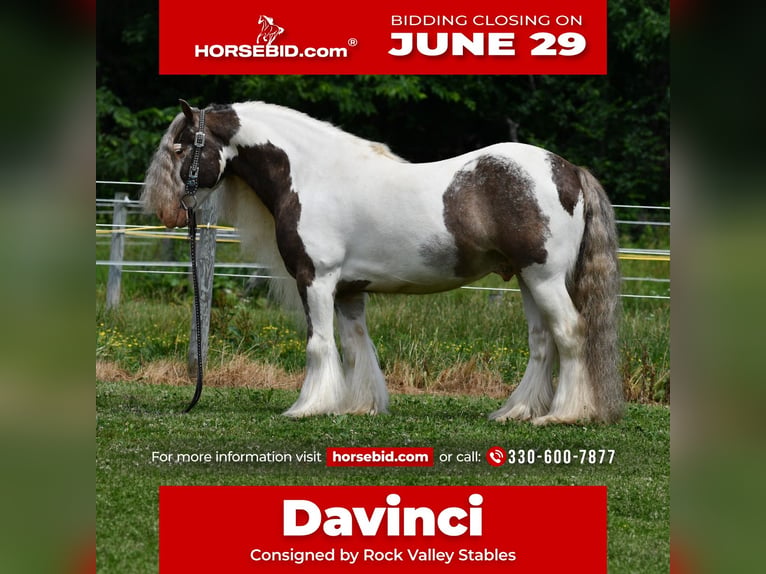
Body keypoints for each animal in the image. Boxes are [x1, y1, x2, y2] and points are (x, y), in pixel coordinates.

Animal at [142, 100, 622, 425]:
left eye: (182, 147)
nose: (166, 212)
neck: (312, 176)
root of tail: (569, 170)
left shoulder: (315, 280)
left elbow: (319, 344)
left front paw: (307, 406)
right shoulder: (348, 290)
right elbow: (357, 348)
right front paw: (359, 407)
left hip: (545, 278)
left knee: (570, 333)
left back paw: (562, 414)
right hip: (526, 279)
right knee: (542, 342)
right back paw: (516, 411)